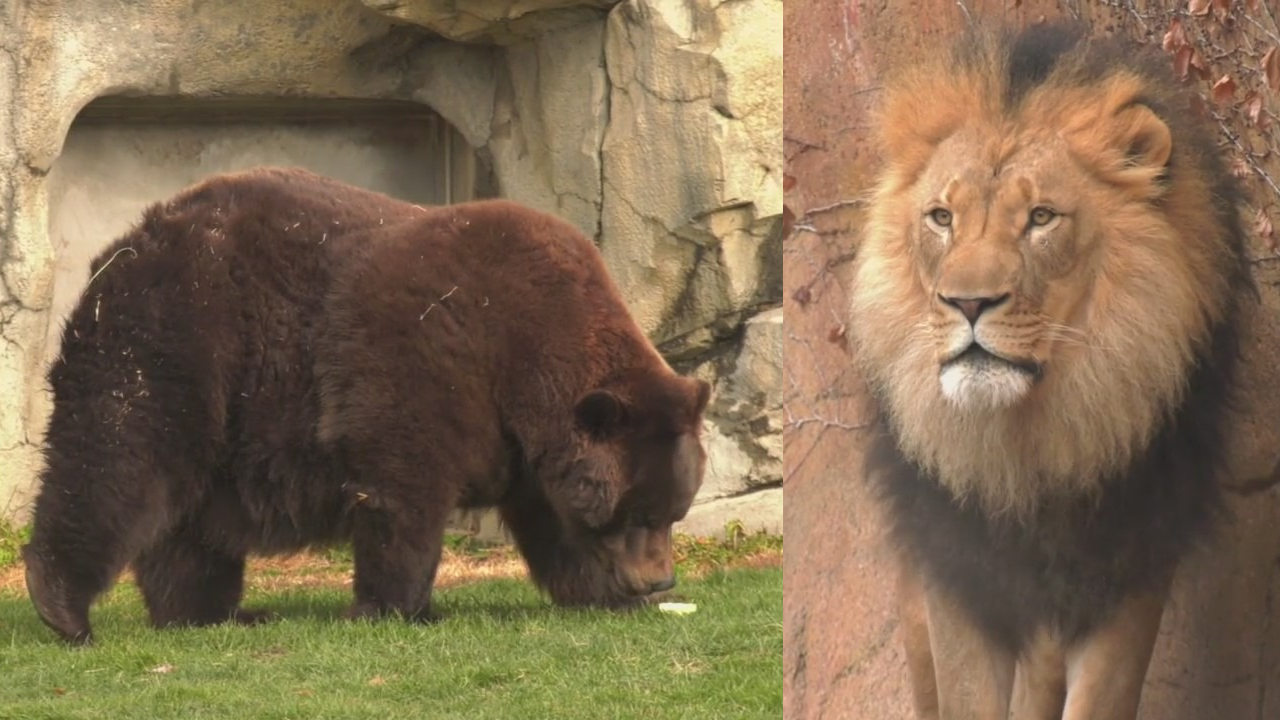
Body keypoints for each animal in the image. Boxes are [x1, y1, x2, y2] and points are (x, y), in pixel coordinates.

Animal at [21, 166, 712, 645]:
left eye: (673, 512)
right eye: (638, 513)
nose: (661, 580)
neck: (528, 354)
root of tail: (126, 244)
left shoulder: (524, 445)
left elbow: (555, 524)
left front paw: (607, 593)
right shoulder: (425, 356)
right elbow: (401, 485)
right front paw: (393, 607)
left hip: (221, 403)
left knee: (188, 516)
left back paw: (214, 613)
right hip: (182, 332)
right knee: (119, 453)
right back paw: (63, 606)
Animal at [848, 23, 1250, 720]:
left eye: (1041, 218)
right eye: (941, 218)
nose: (968, 303)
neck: (1035, 447)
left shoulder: (1130, 572)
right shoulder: (958, 576)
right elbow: (967, 701)